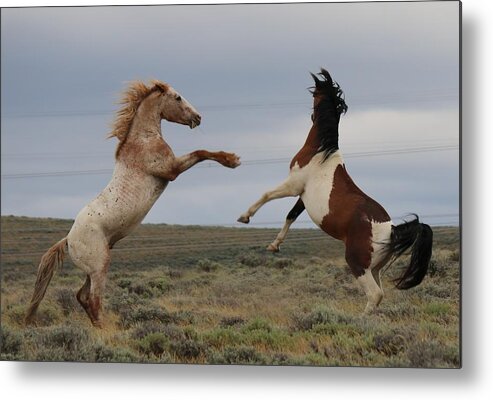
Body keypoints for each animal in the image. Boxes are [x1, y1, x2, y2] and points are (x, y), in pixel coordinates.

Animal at [26, 79, 241, 326]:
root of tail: (68, 240)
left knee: (82, 296)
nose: (198, 117)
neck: (143, 139)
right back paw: (107, 330)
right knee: (93, 300)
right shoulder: (171, 169)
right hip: (100, 267)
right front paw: (232, 160)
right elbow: (200, 152)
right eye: (177, 97)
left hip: (92, 269)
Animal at [236, 68, 432, 312]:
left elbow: (266, 194)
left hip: (358, 264)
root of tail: (392, 230)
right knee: (380, 294)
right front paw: (274, 245)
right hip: (375, 268)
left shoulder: (293, 185)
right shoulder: (303, 197)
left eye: (315, 93)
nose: (311, 115)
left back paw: (360, 318)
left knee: (375, 294)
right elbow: (290, 216)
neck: (321, 153)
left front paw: (244, 217)